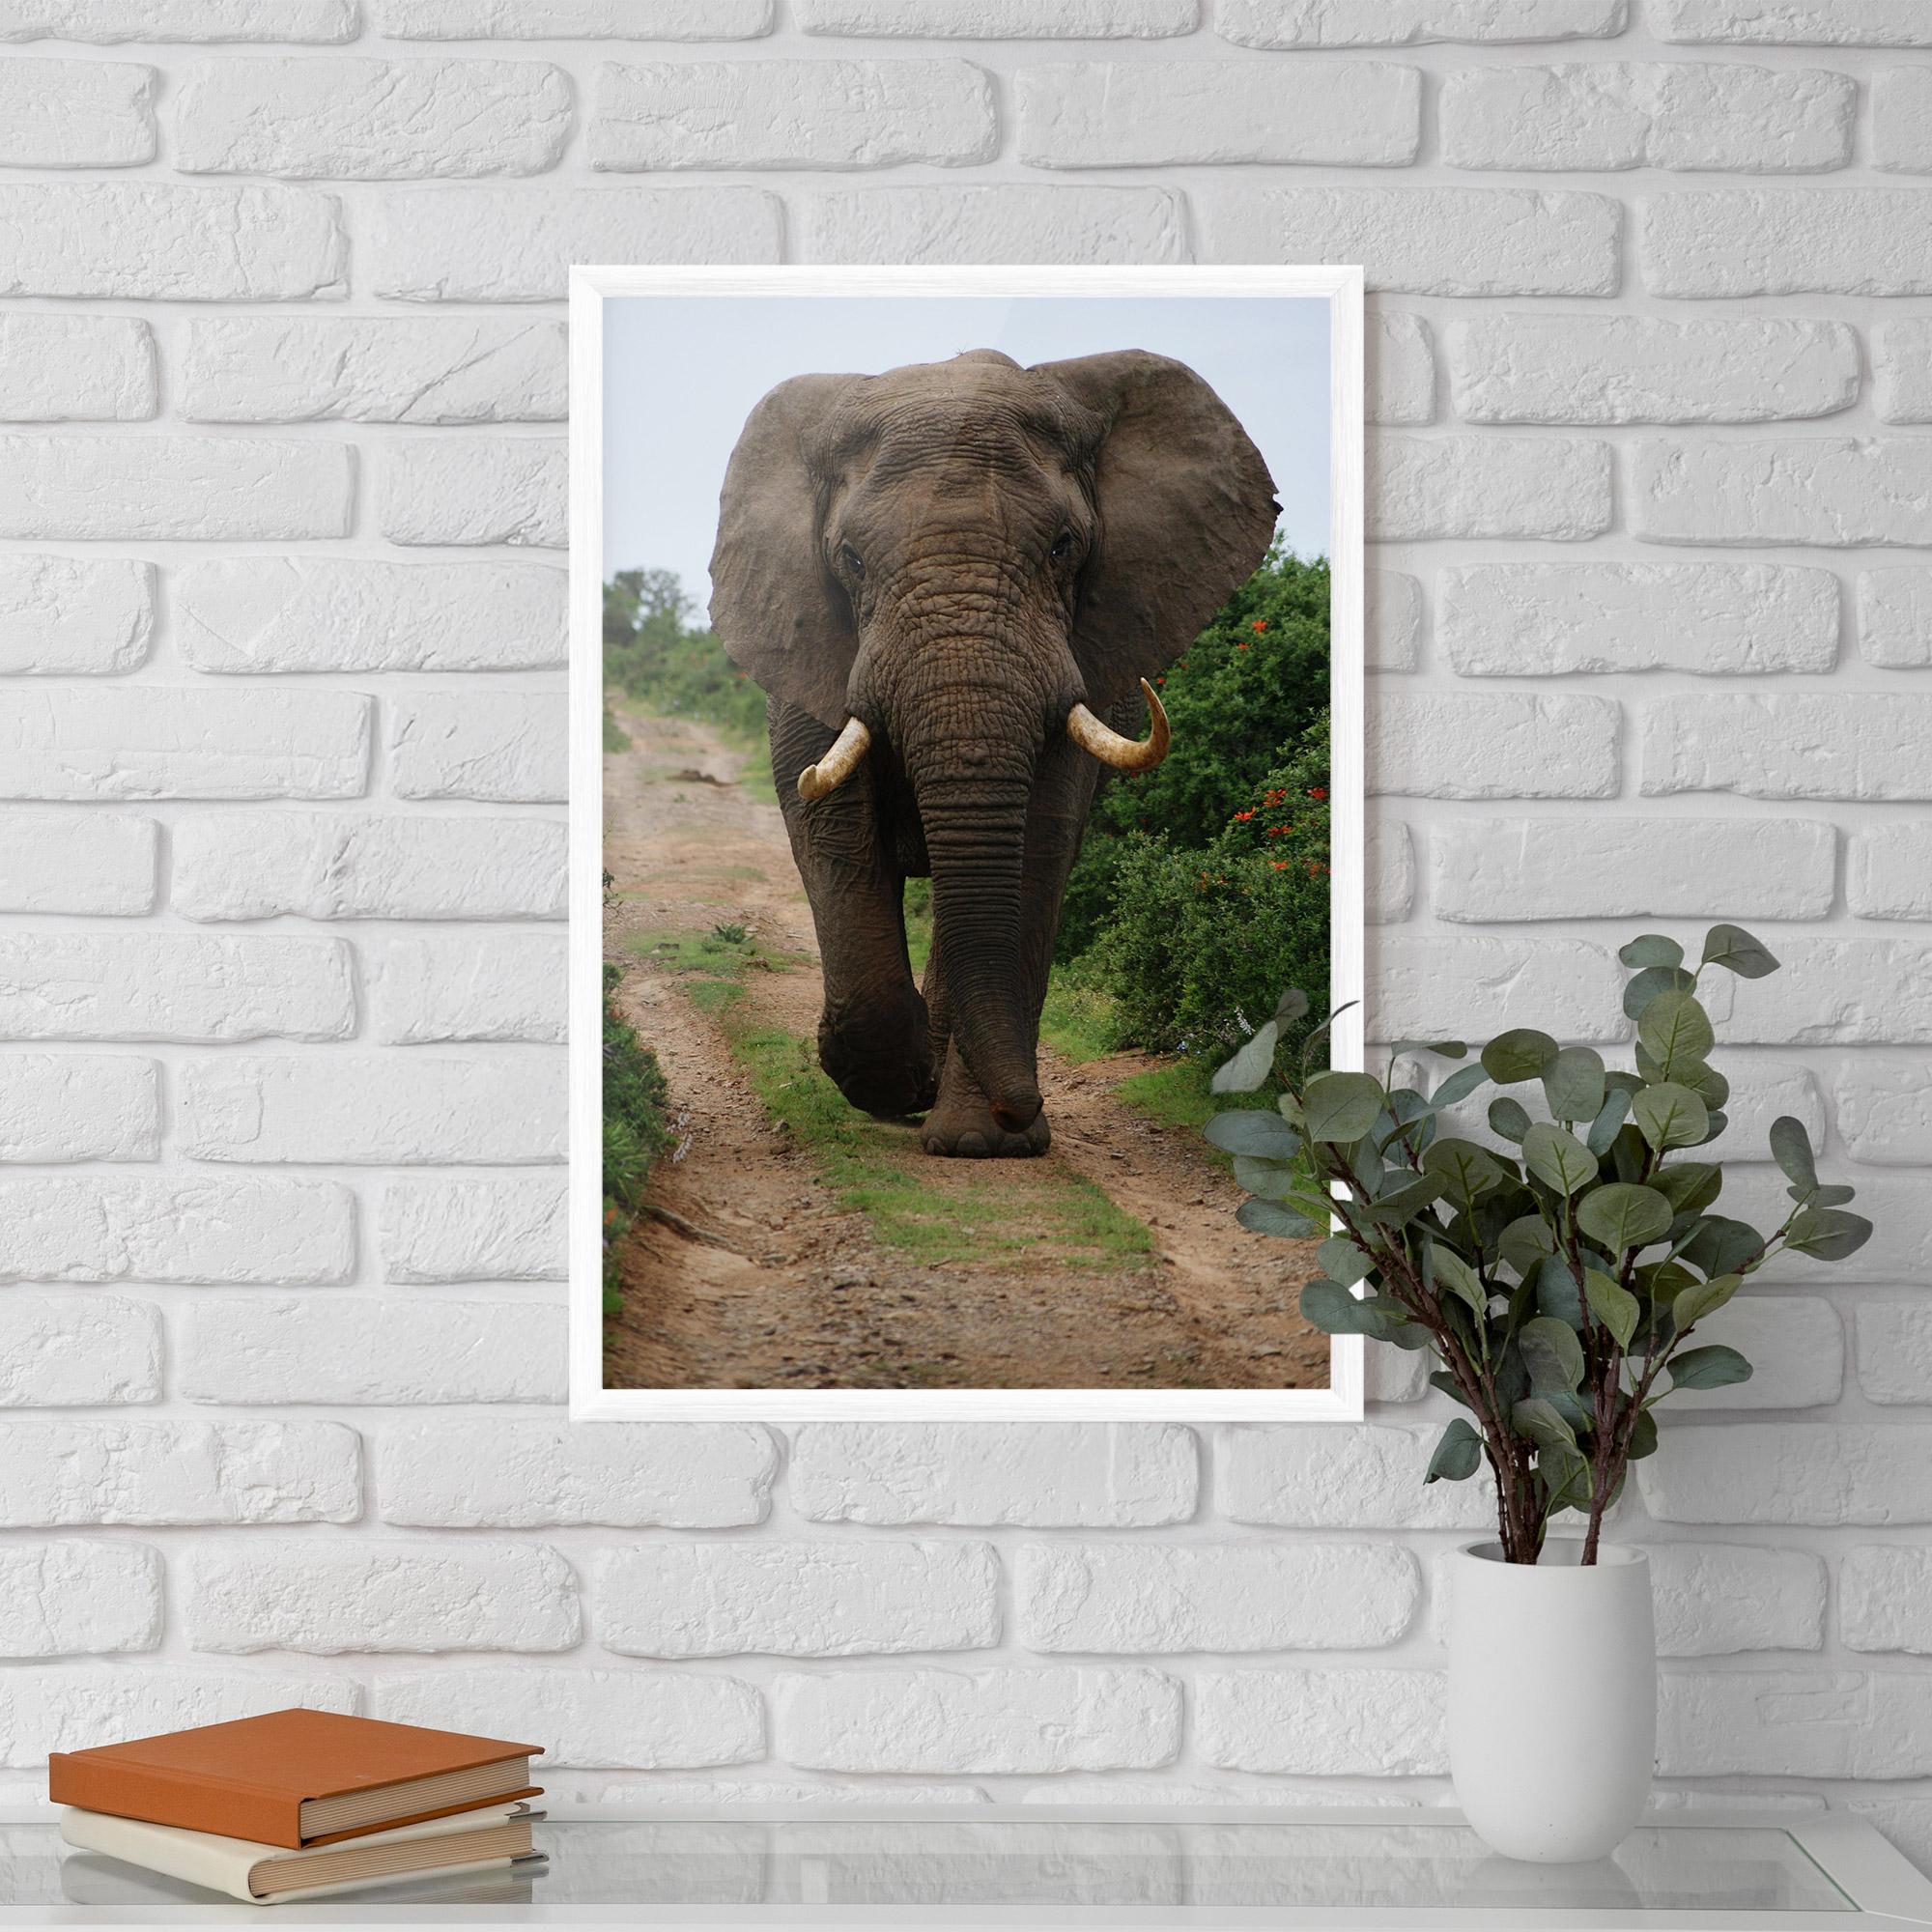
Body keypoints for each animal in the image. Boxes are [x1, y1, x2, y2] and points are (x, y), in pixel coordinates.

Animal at [708, 347, 1279, 1157]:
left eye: (1064, 548)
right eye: (850, 560)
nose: (1022, 1106)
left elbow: (1039, 842)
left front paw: (985, 1142)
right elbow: (831, 828)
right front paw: (889, 1082)